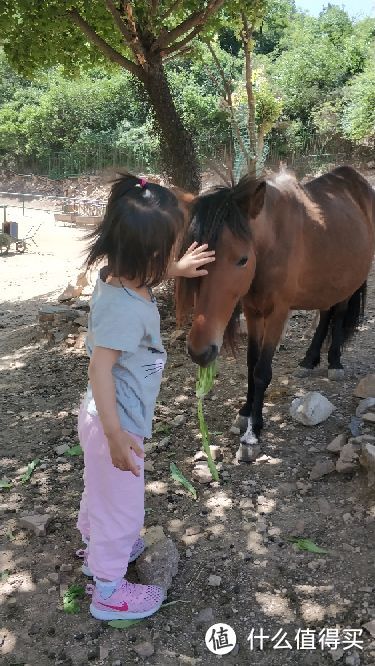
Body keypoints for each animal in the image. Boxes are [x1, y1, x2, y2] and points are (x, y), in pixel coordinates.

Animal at [177, 165, 375, 462]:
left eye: (242, 259)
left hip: (348, 282)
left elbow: (262, 371)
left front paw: (252, 433)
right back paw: (309, 360)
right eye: (194, 256)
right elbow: (250, 364)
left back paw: (334, 363)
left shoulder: (277, 314)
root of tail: (355, 180)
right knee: (325, 313)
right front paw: (244, 413)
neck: (272, 244)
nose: (200, 351)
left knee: (338, 314)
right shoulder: (253, 311)